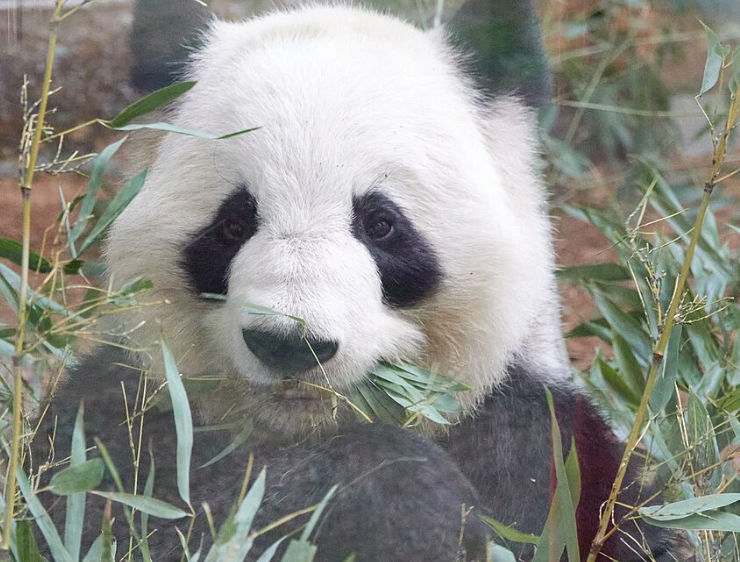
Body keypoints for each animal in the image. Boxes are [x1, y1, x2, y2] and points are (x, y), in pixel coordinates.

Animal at [34, 2, 672, 561]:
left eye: (381, 224)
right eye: (234, 223)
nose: (291, 345)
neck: (307, 428)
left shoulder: (551, 453)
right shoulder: (123, 415)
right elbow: (126, 510)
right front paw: (404, 500)